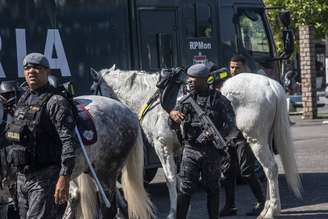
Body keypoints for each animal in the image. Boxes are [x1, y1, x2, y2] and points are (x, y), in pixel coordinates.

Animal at [96, 67, 302, 219]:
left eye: (94, 87)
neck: (152, 100)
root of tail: (270, 84)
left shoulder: (163, 147)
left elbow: (171, 179)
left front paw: (172, 212)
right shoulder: (180, 151)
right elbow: (182, 180)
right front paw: (183, 209)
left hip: (255, 139)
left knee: (270, 169)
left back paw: (272, 211)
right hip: (264, 139)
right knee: (267, 171)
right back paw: (266, 207)